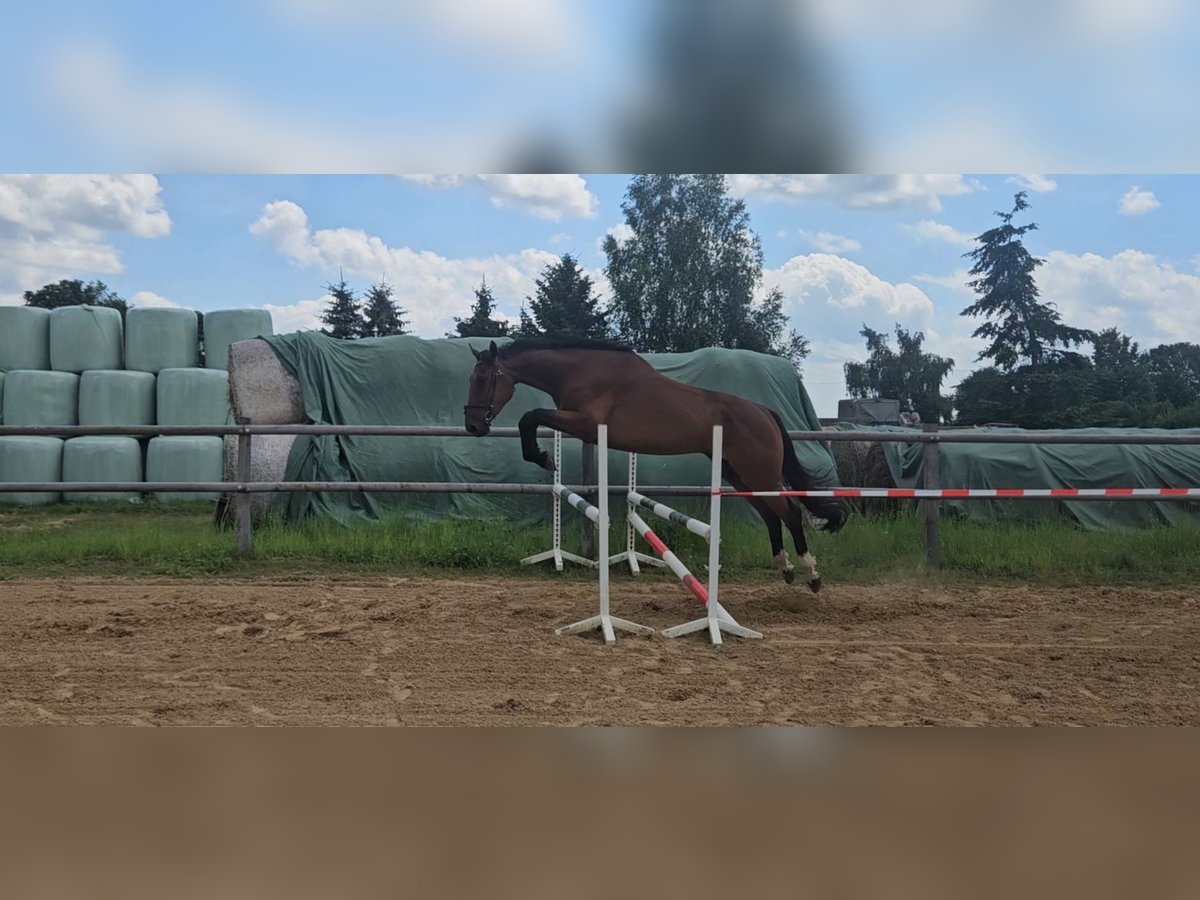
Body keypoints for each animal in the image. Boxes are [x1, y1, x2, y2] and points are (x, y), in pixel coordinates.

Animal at [458, 338, 844, 592]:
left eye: (483, 379)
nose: (473, 426)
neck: (582, 370)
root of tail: (763, 411)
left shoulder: (585, 423)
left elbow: (530, 416)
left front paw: (540, 456)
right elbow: (531, 418)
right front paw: (541, 456)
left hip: (758, 472)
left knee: (790, 512)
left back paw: (811, 574)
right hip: (737, 474)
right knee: (770, 515)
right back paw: (785, 568)